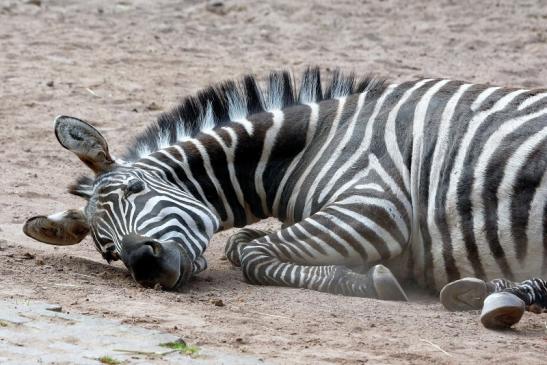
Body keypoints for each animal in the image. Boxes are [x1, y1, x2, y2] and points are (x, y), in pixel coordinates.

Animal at [23, 67, 547, 328]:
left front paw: (368, 280)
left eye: (136, 188)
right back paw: (494, 292)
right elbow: (242, 245)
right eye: (108, 252)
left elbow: (253, 254)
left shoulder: (373, 204)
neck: (310, 145)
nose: (146, 267)